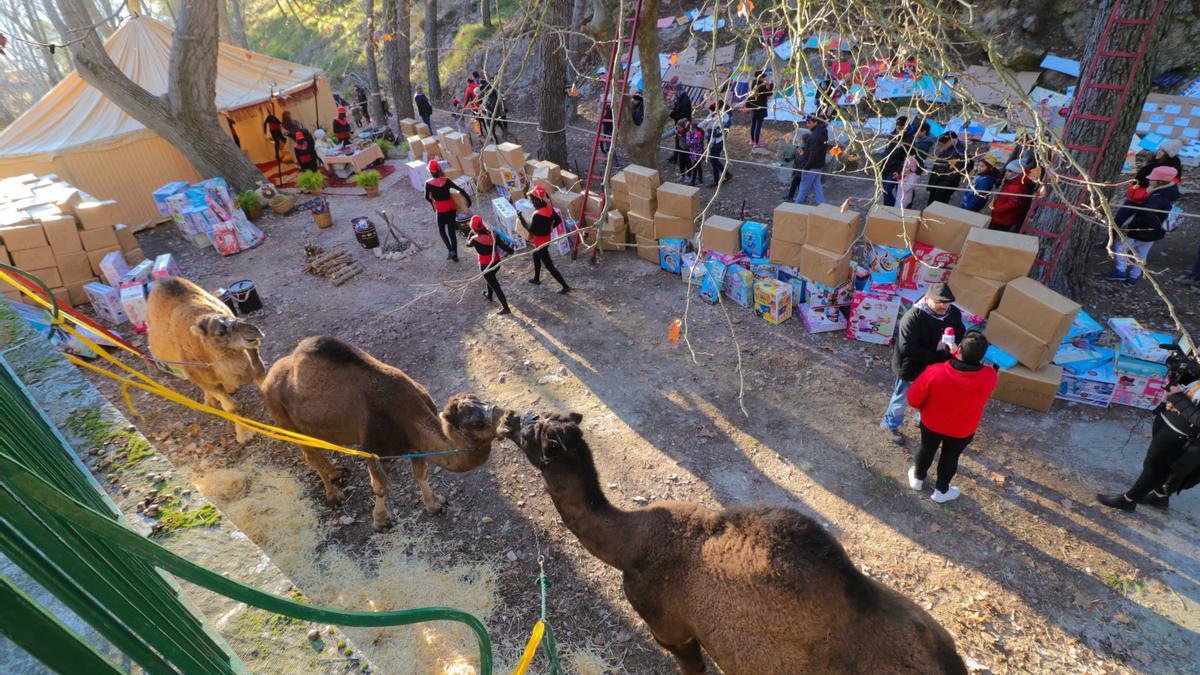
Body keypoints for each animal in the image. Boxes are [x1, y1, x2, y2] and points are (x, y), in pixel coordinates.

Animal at [147, 276, 265, 444]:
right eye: (220, 333)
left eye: (234, 317)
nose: (253, 330)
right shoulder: (203, 376)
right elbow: (230, 407)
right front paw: (244, 435)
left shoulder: (255, 362)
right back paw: (210, 401)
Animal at [260, 333, 508, 528]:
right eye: (476, 422)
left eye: (485, 402)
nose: (507, 417)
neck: (405, 411)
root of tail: (267, 378)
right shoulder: (372, 446)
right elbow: (379, 485)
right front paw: (380, 520)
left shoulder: (413, 444)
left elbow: (421, 474)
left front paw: (435, 505)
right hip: (281, 414)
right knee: (309, 455)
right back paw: (334, 495)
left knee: (317, 448)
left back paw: (335, 472)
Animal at [501, 410, 969, 672]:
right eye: (535, 419)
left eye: (535, 431)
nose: (507, 418)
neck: (629, 544)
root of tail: (951, 662)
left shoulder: (671, 627)